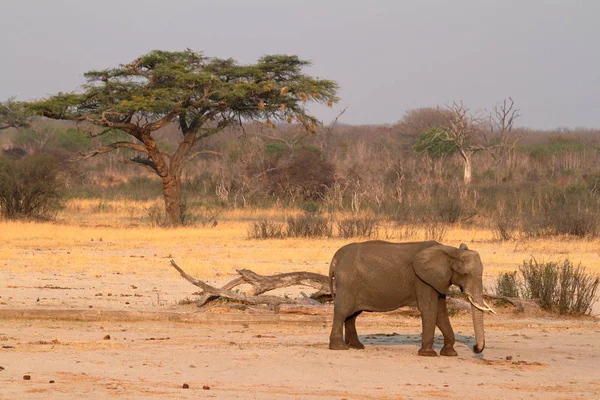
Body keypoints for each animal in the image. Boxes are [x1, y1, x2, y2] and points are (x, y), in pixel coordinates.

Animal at [330, 241, 494, 356]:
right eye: (465, 274)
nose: (475, 348)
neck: (450, 251)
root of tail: (335, 258)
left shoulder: (438, 280)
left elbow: (441, 313)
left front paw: (450, 354)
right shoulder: (422, 280)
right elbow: (430, 310)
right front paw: (428, 354)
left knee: (352, 315)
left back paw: (356, 347)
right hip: (348, 282)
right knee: (343, 311)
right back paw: (339, 348)